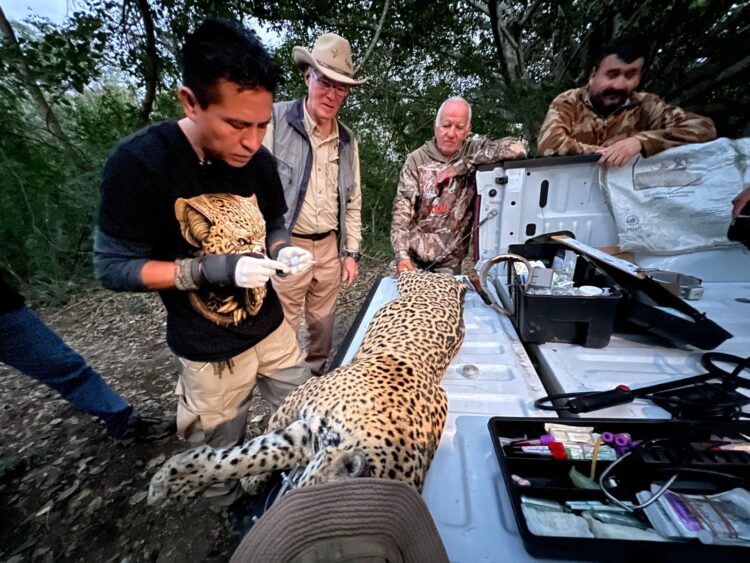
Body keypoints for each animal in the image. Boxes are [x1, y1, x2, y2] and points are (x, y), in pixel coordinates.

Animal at [148, 271, 466, 506]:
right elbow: (253, 446)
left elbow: (253, 455)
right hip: (416, 281)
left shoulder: (302, 439)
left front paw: (178, 479)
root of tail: (456, 287)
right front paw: (175, 480)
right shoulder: (301, 398)